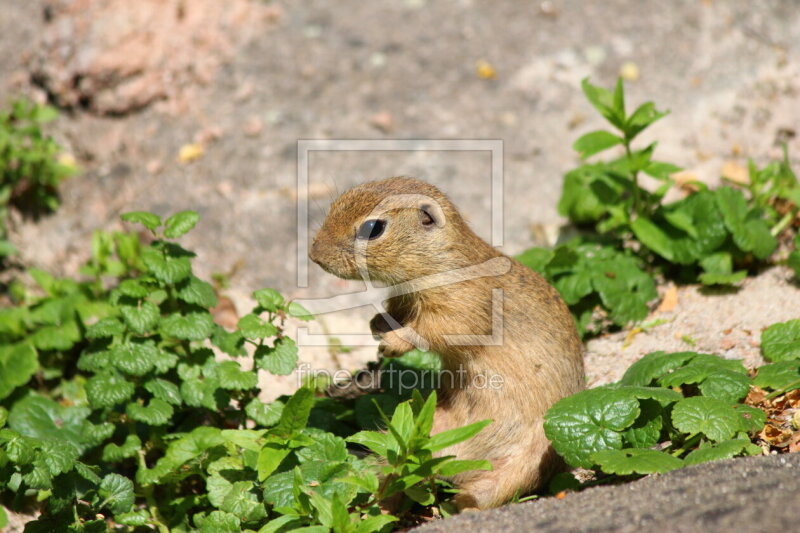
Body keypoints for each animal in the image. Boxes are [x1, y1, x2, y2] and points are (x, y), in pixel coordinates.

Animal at [310, 177, 584, 510]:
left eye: (373, 228)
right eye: (337, 203)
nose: (315, 254)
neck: (439, 260)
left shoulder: (460, 304)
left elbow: (435, 330)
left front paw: (391, 343)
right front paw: (377, 326)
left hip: (524, 463)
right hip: (410, 436)